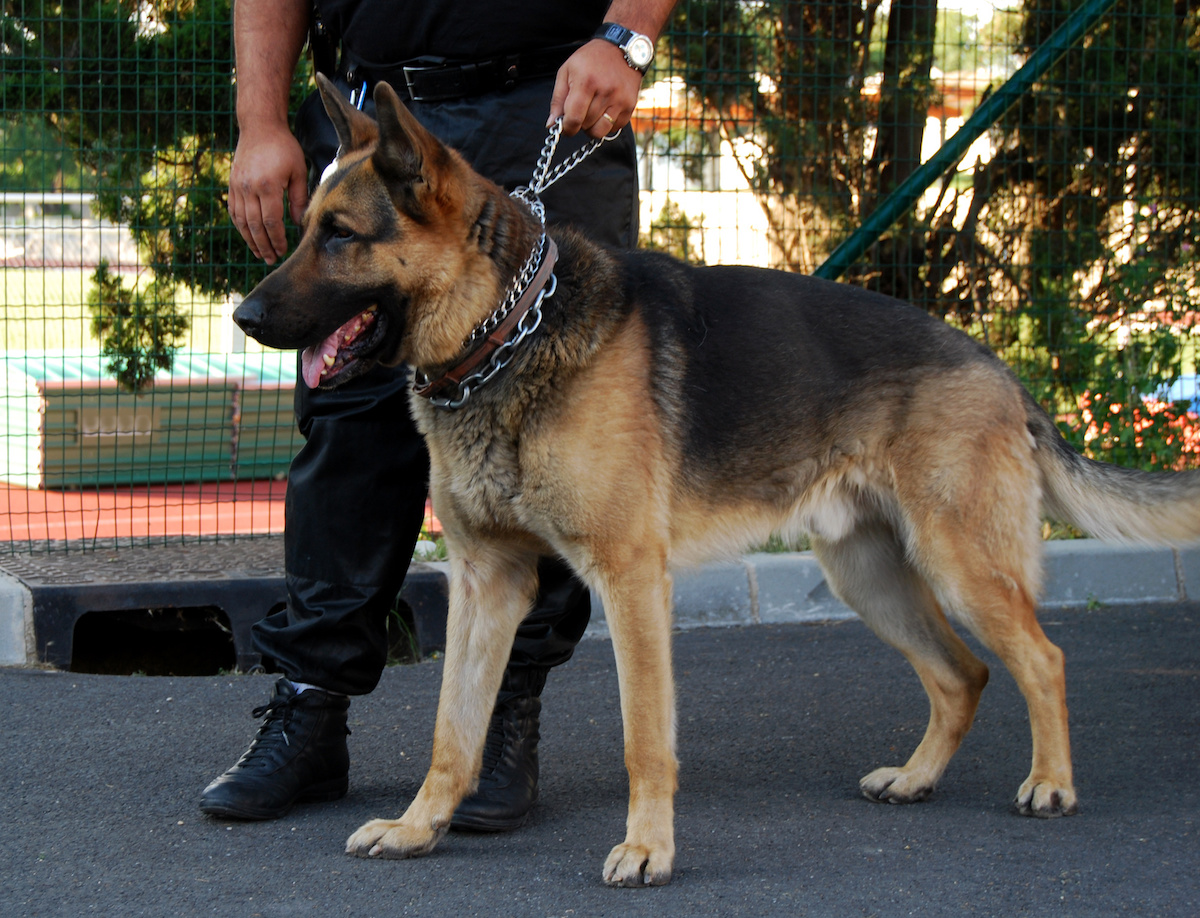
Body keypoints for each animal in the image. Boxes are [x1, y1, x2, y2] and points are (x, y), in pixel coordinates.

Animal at [231, 75, 1200, 883]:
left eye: (340, 238)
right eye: (306, 228)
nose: (243, 315)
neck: (504, 335)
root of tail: (999, 369)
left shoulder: (629, 581)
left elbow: (645, 737)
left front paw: (649, 850)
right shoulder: (486, 580)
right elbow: (451, 729)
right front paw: (417, 827)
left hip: (960, 563)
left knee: (1041, 658)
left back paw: (1052, 782)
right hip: (871, 575)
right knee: (963, 675)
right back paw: (918, 777)